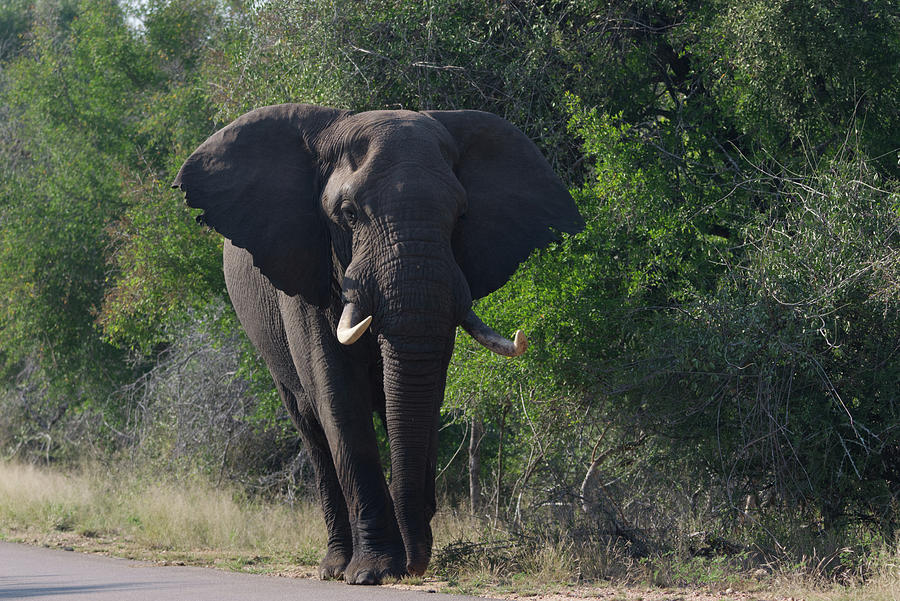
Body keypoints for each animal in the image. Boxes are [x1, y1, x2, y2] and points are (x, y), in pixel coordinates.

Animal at [173, 103, 584, 580]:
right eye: (349, 214)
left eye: (461, 215)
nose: (416, 565)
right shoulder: (306, 270)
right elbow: (339, 396)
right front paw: (373, 572)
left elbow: (423, 393)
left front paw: (401, 556)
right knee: (312, 432)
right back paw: (335, 566)